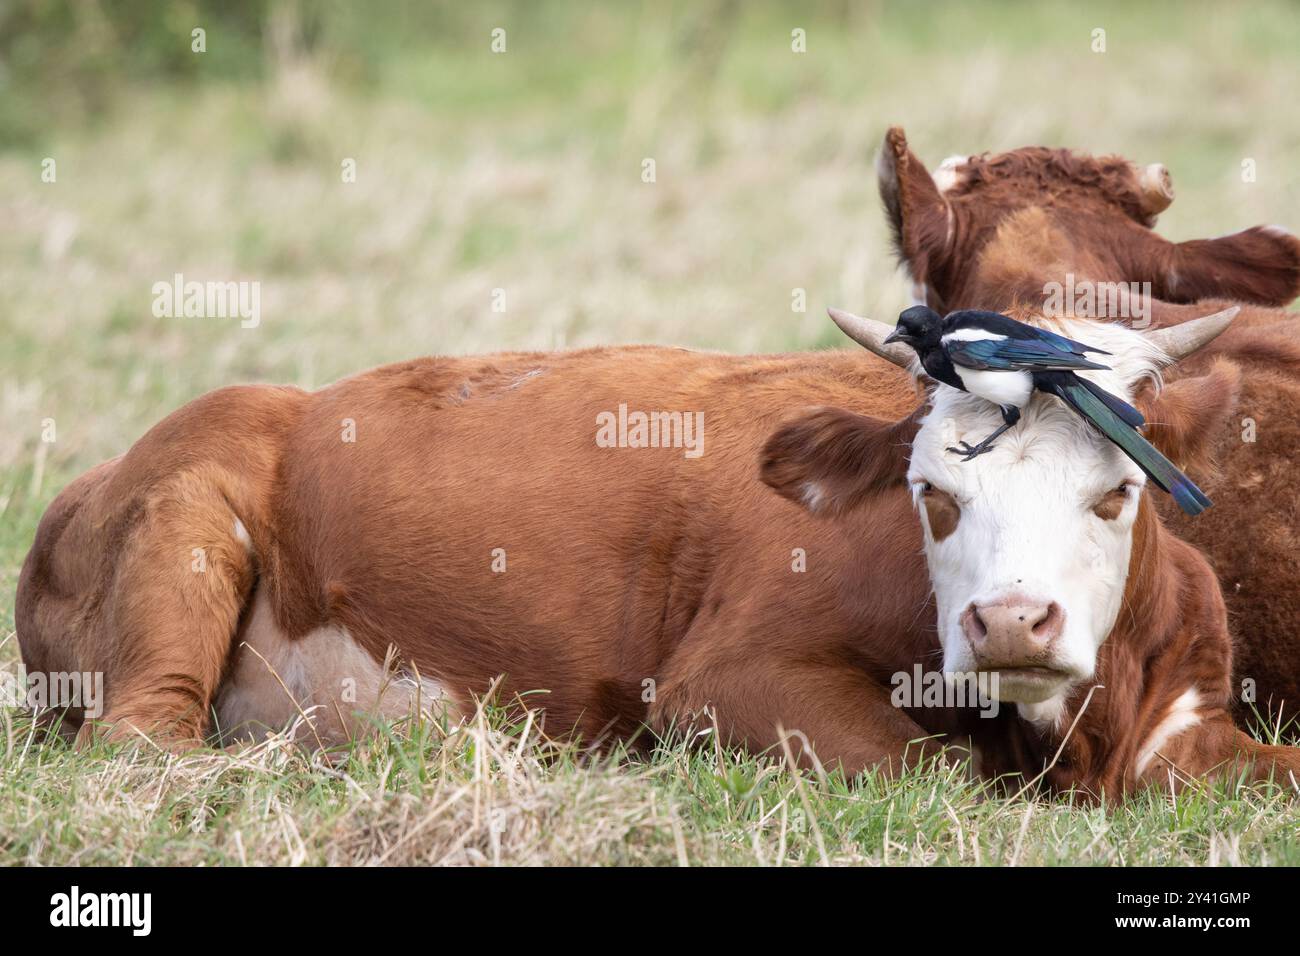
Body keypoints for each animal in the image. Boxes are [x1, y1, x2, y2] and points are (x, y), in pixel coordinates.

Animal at [12, 300, 1300, 801]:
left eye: (1115, 493)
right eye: (931, 495)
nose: (1011, 622)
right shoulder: (728, 680)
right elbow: (937, 769)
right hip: (188, 513)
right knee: (143, 737)